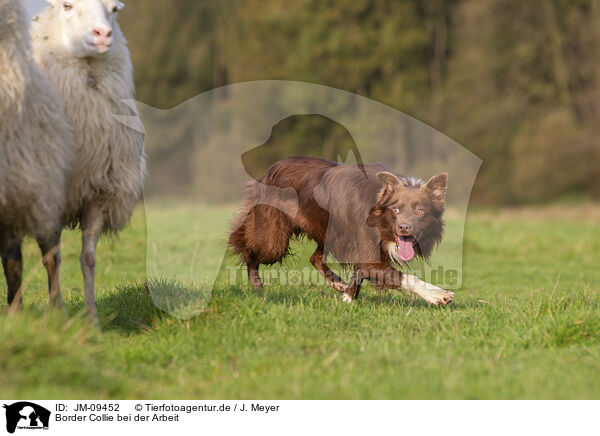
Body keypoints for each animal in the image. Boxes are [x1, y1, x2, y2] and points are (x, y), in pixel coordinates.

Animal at [31, 0, 146, 320]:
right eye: (67, 6)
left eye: (114, 9)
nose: (103, 34)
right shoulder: (48, 195)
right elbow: (52, 258)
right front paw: (57, 313)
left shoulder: (99, 191)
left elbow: (88, 258)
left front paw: (91, 317)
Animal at [227, 155, 452, 304]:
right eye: (395, 210)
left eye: (420, 211)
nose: (404, 228)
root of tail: (272, 168)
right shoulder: (369, 253)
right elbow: (405, 277)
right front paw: (438, 294)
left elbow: (359, 271)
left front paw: (347, 297)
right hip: (273, 240)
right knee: (249, 250)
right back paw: (256, 285)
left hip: (328, 234)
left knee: (315, 258)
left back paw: (337, 283)